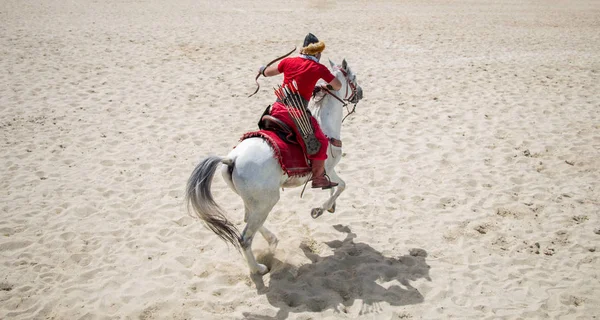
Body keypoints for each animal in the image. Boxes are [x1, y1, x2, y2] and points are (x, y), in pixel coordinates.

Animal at [184, 58, 360, 274]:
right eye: (353, 78)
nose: (360, 93)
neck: (324, 125)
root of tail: (231, 159)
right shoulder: (328, 169)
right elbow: (341, 185)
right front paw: (320, 209)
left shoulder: (329, 172)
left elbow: (336, 186)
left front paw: (330, 207)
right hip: (266, 201)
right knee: (245, 238)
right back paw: (258, 269)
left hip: (255, 200)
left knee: (248, 219)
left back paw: (272, 241)